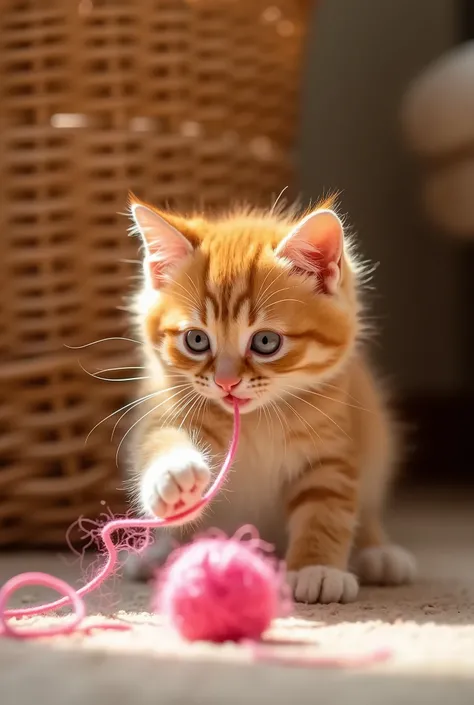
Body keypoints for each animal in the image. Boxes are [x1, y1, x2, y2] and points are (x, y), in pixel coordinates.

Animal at [123, 195, 414, 604]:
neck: (259, 417)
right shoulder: (166, 405)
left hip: (377, 442)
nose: (226, 382)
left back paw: (379, 554)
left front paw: (316, 569)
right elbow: (158, 439)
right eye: (196, 340)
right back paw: (157, 554)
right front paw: (174, 475)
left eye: (265, 342)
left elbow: (327, 507)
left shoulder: (332, 445)